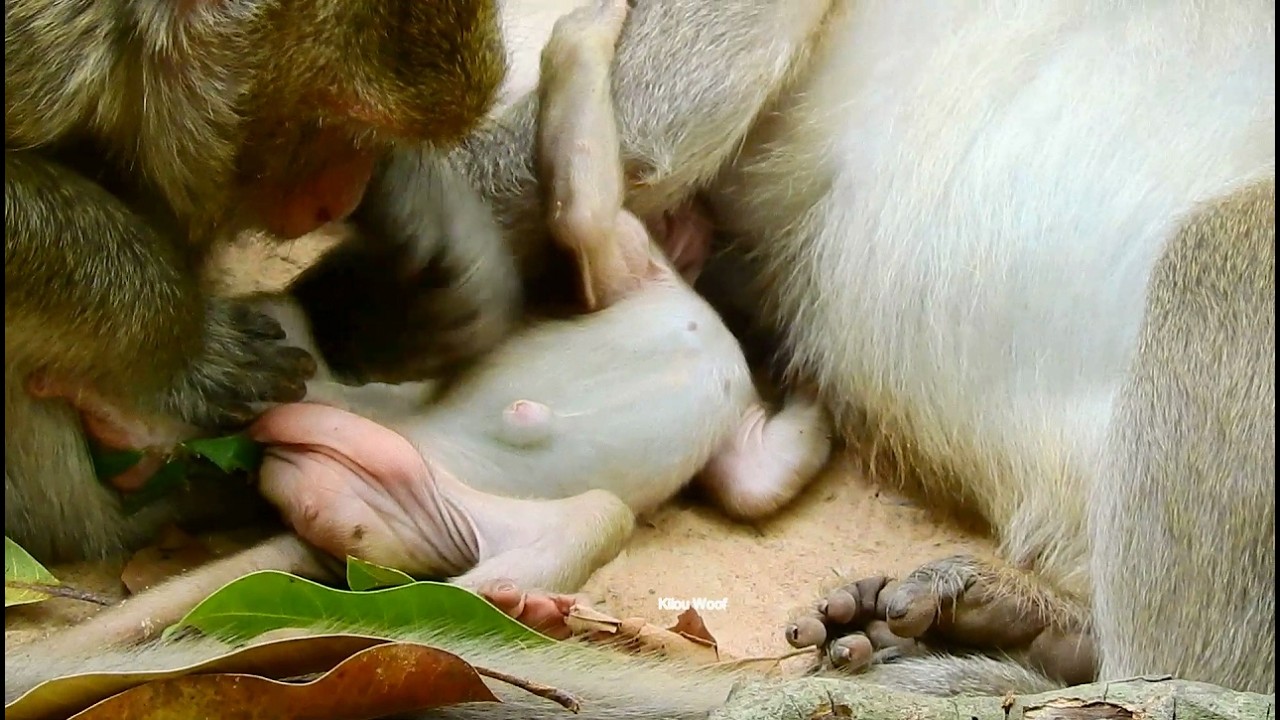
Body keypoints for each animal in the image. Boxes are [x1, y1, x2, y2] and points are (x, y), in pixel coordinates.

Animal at [5, 0, 509, 565]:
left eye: (369, 136)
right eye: (325, 123)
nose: (340, 201)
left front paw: (427, 213)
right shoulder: (42, 55)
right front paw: (185, 337)